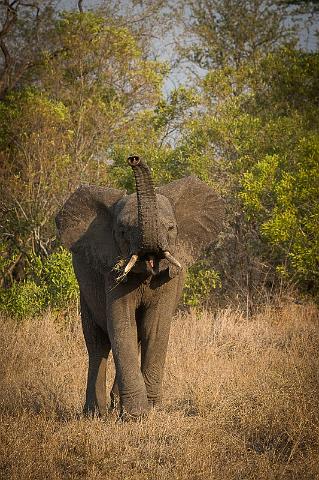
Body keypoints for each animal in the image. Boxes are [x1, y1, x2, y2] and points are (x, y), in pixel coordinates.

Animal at [55, 157, 225, 420]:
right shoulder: (109, 269)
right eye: (123, 231)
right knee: (97, 344)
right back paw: (96, 414)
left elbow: (154, 326)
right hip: (85, 290)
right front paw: (136, 415)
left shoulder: (168, 278)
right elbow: (121, 324)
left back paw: (114, 404)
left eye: (171, 228)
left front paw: (150, 409)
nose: (133, 158)